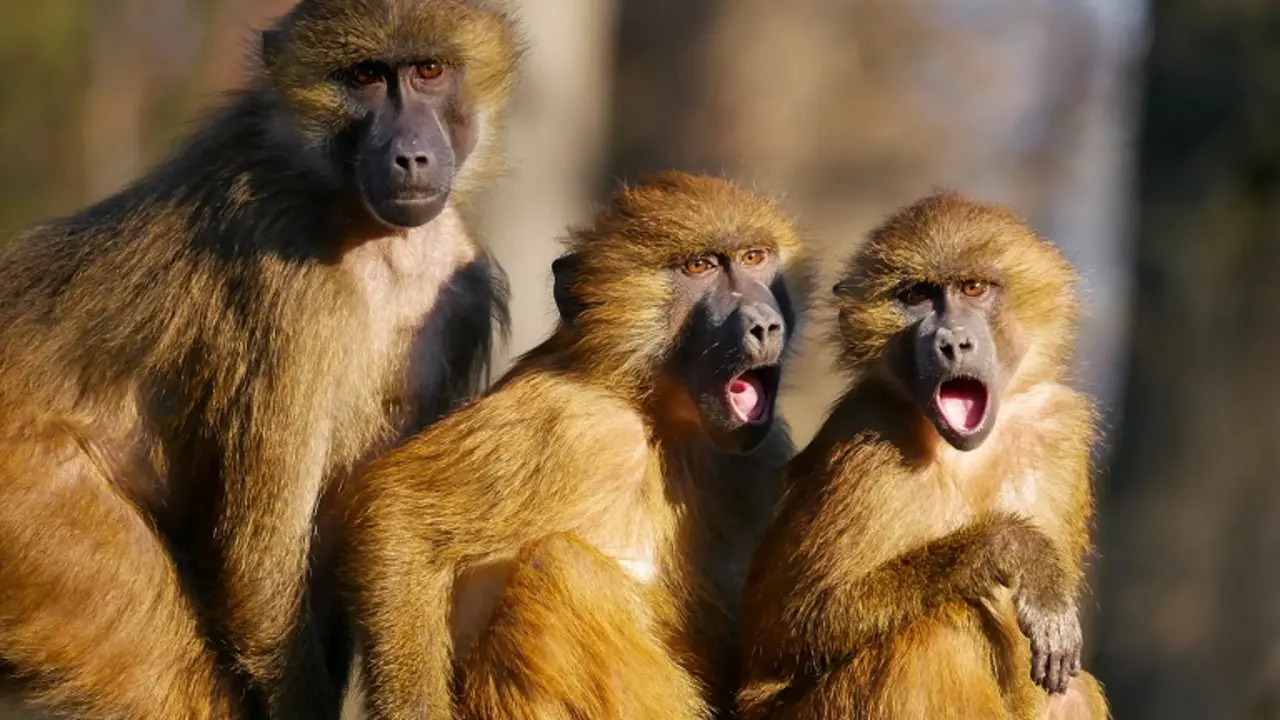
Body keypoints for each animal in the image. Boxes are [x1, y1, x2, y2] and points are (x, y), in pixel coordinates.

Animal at [0, 2, 521, 718]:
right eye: (365, 77)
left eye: (429, 70)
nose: (410, 156)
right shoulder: (289, 284)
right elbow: (260, 564)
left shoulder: (461, 297)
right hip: (34, 511)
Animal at [336, 171, 812, 720]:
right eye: (700, 267)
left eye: (755, 257)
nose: (764, 324)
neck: (657, 417)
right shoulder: (575, 422)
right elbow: (398, 512)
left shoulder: (761, 453)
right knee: (560, 567)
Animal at [736, 192, 1109, 720]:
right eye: (916, 296)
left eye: (973, 288)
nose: (952, 342)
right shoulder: (868, 441)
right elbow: (792, 623)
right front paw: (1015, 550)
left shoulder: (1057, 429)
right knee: (935, 637)